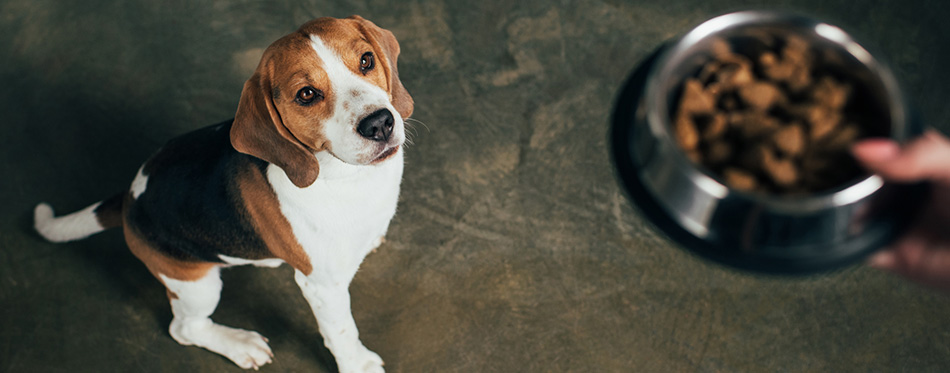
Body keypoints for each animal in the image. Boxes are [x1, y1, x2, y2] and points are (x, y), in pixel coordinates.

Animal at [32, 15, 412, 372]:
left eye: (366, 60)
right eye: (306, 95)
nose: (379, 124)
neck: (348, 178)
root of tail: (130, 197)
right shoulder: (323, 287)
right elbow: (342, 331)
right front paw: (357, 364)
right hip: (197, 285)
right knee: (185, 329)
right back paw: (239, 344)